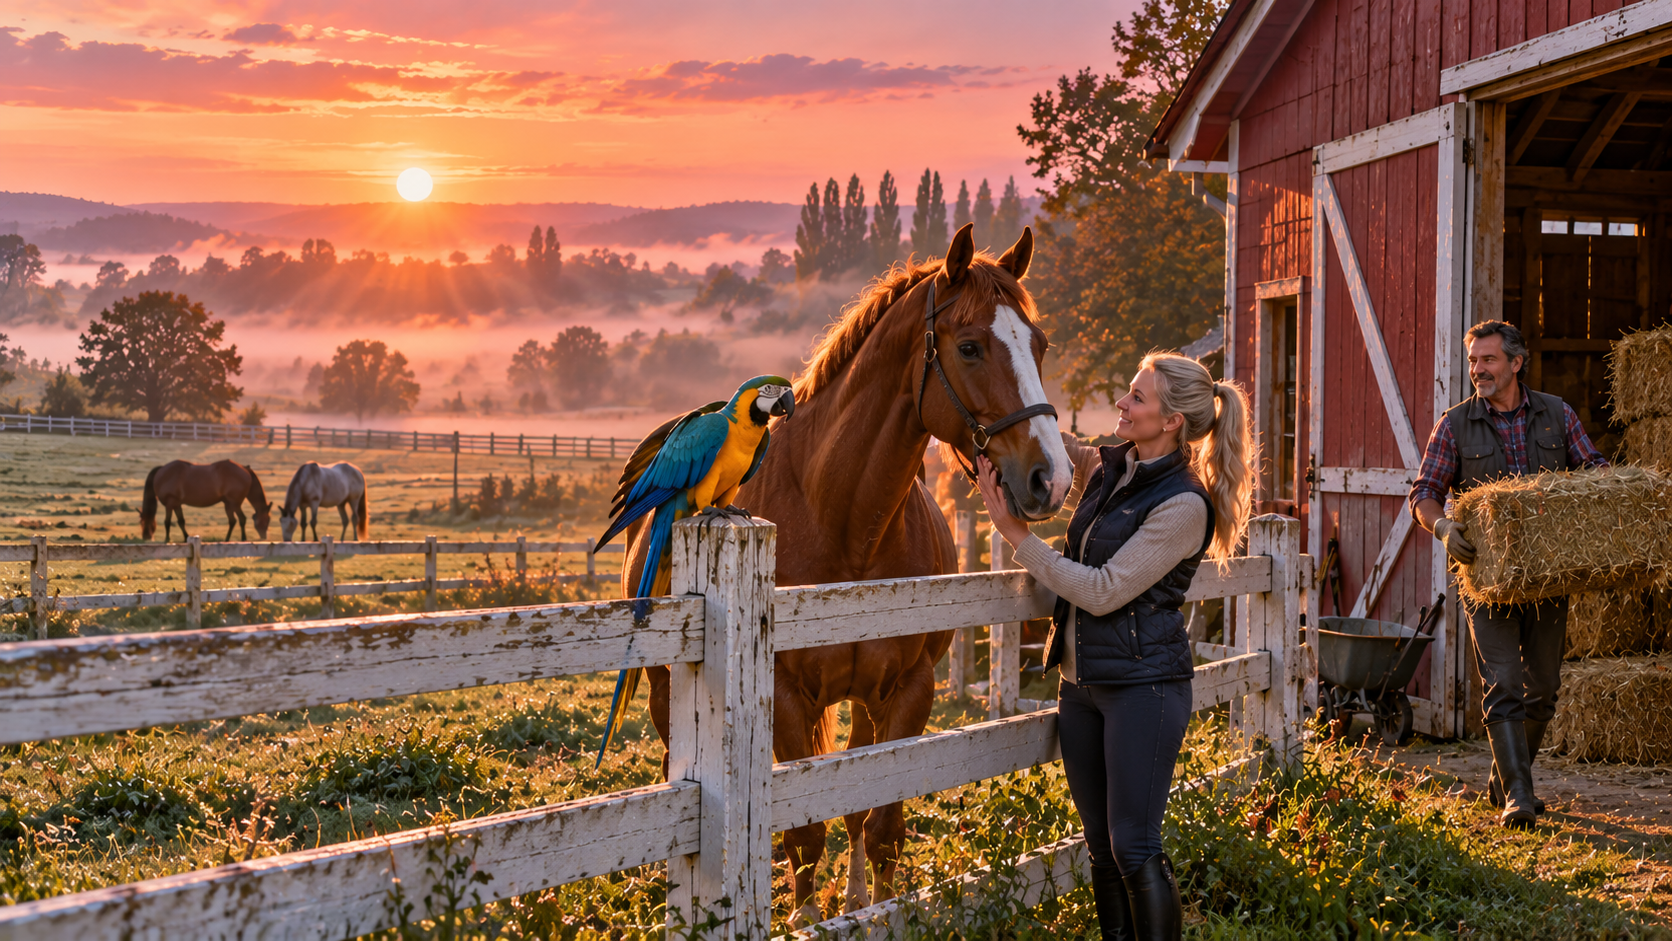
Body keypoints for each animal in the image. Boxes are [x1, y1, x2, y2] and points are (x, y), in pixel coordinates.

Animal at [140, 460, 273, 542]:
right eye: (267, 520)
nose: (264, 536)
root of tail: (245, 470)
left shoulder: (170, 504)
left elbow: (168, 522)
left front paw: (167, 539)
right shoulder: (175, 504)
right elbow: (179, 521)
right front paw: (184, 538)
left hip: (235, 504)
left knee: (241, 519)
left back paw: (242, 538)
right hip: (231, 504)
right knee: (236, 520)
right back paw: (230, 539)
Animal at [628, 225, 1071, 924]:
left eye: (1040, 345)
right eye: (970, 347)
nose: (1050, 478)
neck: (839, 522)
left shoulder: (907, 689)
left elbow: (878, 820)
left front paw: (875, 908)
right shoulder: (784, 696)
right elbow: (805, 834)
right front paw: (806, 918)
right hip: (667, 689)